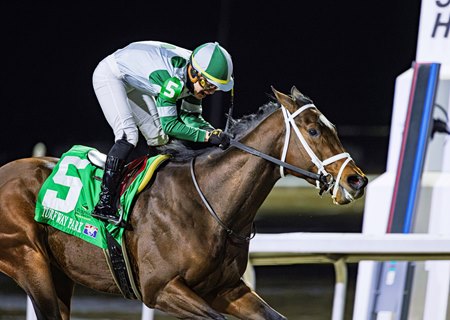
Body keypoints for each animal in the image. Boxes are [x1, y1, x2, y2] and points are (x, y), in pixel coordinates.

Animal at [0, 86, 366, 318]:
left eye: (331, 127)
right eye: (314, 131)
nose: (357, 180)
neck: (210, 205)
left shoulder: (227, 289)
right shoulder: (160, 289)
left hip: (59, 274)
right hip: (30, 261)